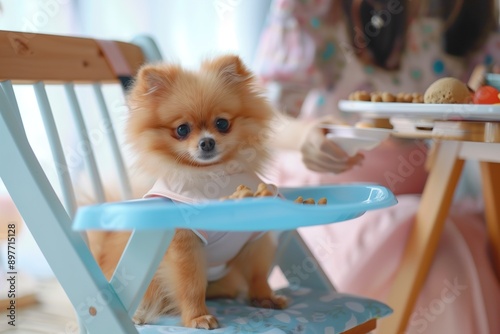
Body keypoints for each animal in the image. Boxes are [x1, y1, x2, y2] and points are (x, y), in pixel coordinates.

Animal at [88, 54, 288, 328]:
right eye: (182, 129)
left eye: (222, 123)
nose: (207, 142)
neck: (213, 176)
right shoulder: (185, 245)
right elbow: (191, 284)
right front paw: (197, 316)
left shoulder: (254, 239)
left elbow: (258, 273)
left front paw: (265, 297)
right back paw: (139, 313)